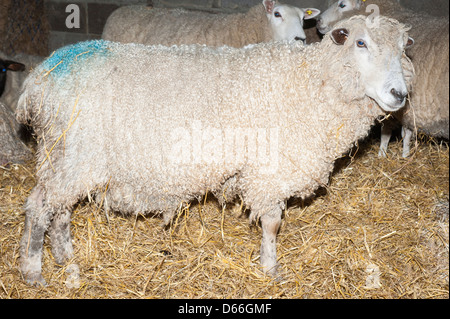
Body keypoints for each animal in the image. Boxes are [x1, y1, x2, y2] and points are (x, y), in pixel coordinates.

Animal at [15, 15, 414, 286]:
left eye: (402, 49)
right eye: (360, 43)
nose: (399, 95)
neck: (312, 83)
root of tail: (41, 76)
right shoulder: (269, 170)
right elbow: (272, 223)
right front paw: (271, 268)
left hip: (63, 156)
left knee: (60, 210)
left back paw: (66, 257)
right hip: (73, 154)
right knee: (39, 207)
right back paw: (34, 271)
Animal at [314, 0, 448, 158]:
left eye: (342, 4)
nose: (318, 21)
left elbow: (389, 132)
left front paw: (385, 153)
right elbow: (405, 133)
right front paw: (404, 155)